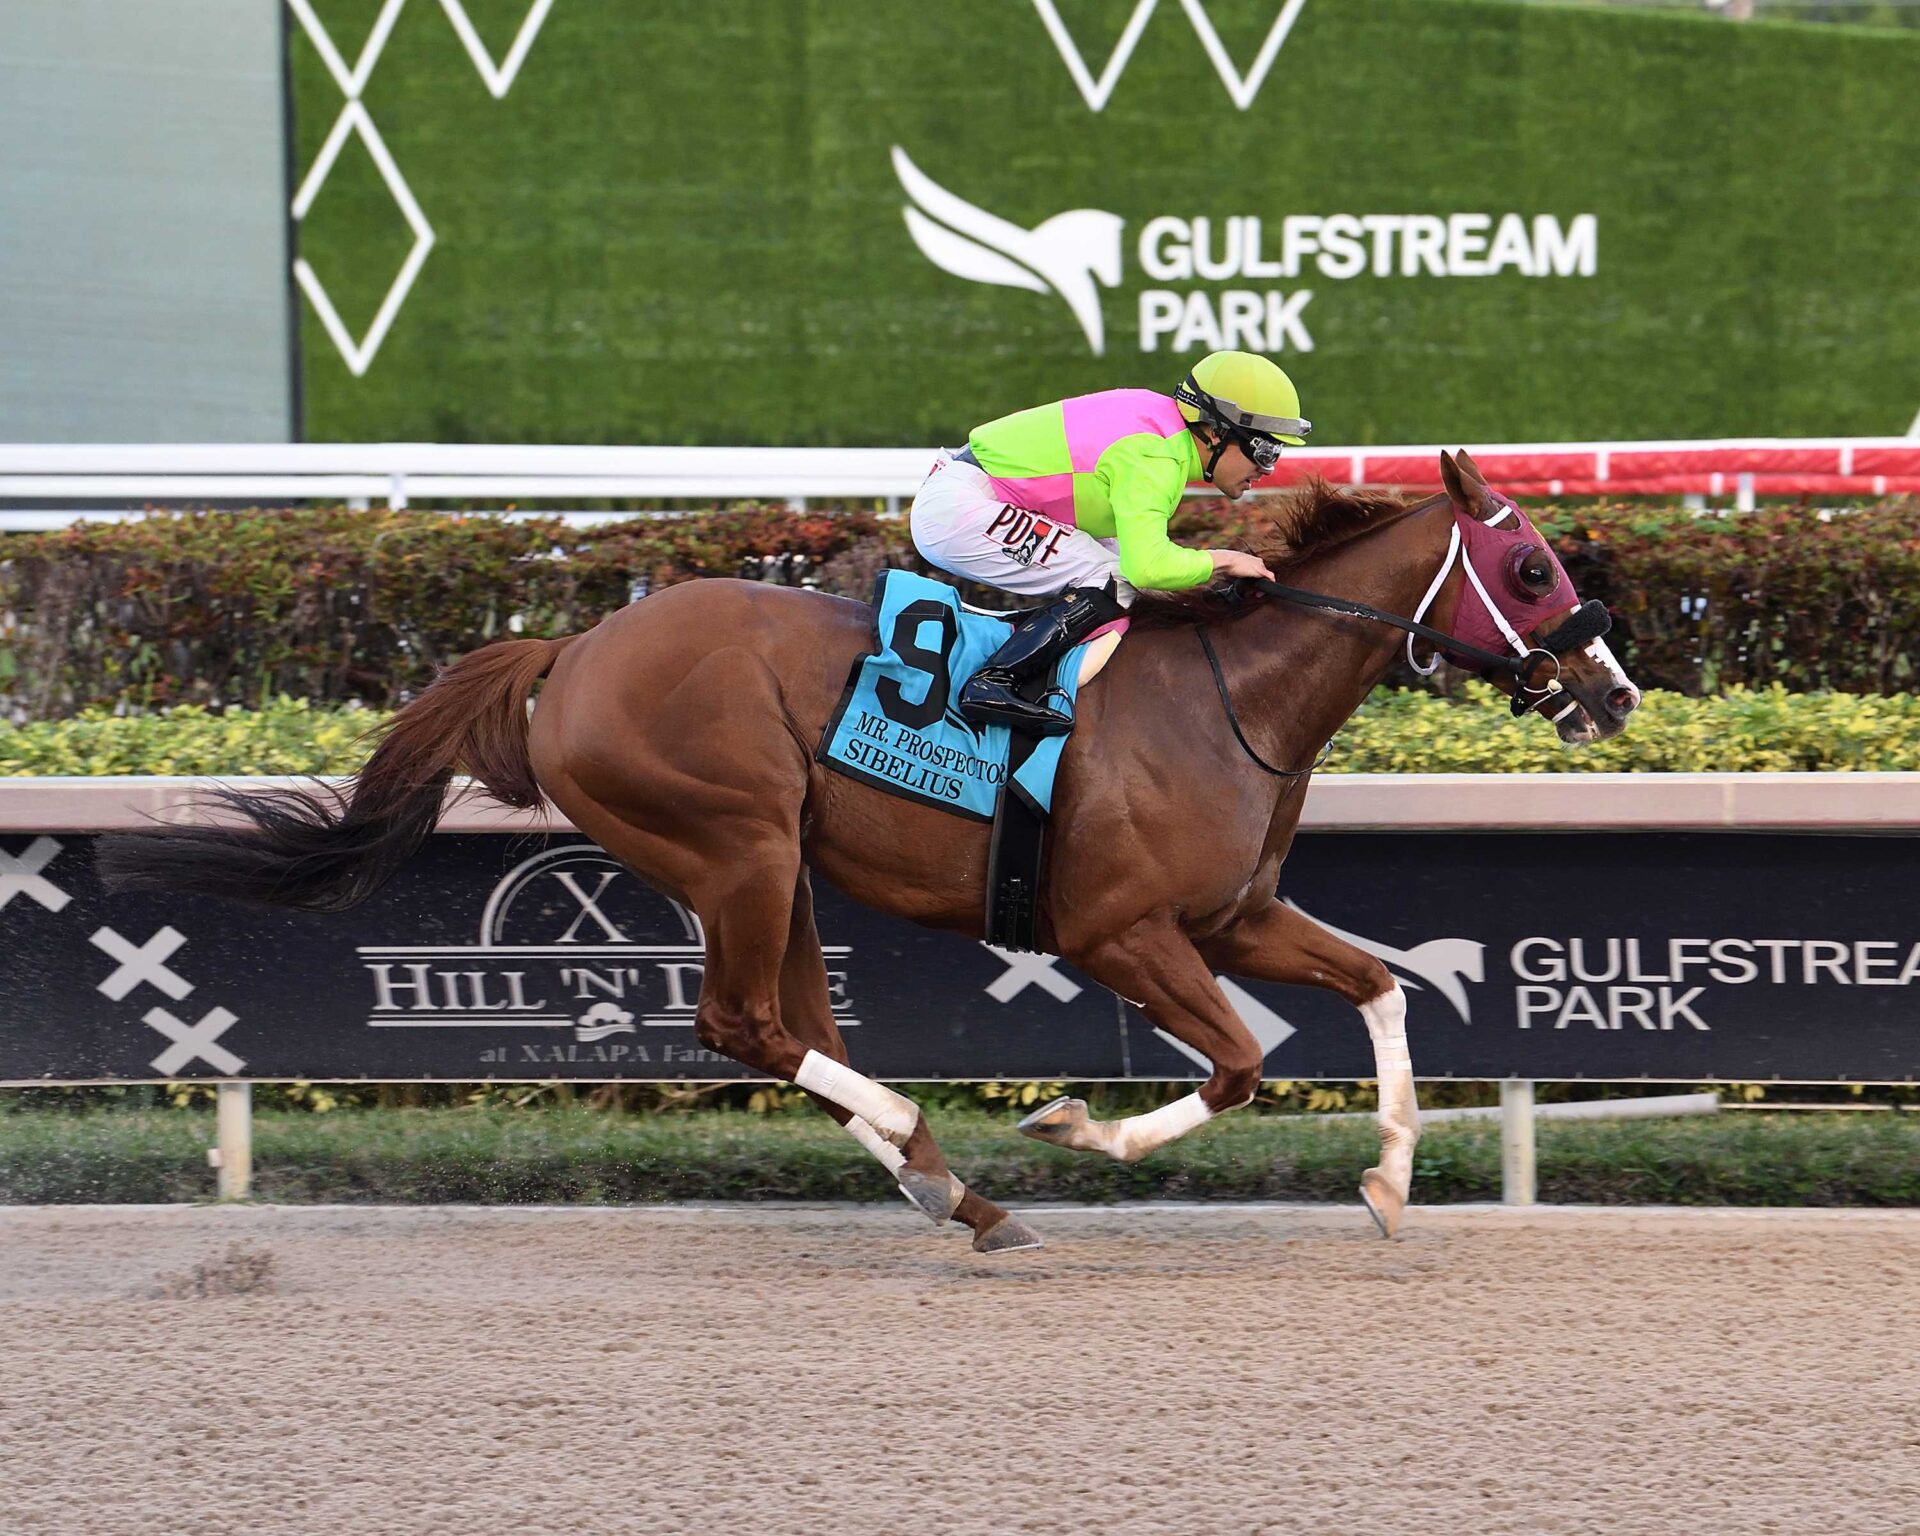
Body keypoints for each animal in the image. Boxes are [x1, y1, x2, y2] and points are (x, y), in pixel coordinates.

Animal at [99, 450, 1641, 1252]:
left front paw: (1386, 1182)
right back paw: (931, 1151)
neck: (1229, 700)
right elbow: (1242, 1067)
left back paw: (944, 1182)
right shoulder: (1121, 933)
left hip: (776, 863)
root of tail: (573, 650)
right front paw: (1073, 1124)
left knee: (792, 1023)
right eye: (1533, 570)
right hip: (732, 838)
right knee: (743, 1025)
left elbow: (1380, 988)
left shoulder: (1232, 919)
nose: (1616, 693)